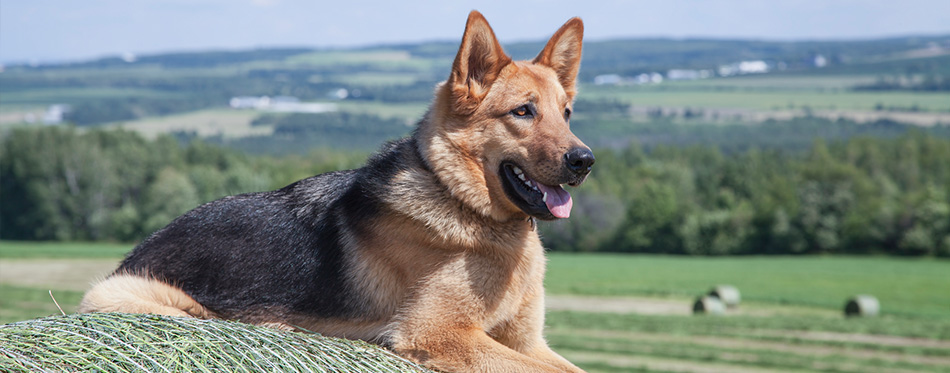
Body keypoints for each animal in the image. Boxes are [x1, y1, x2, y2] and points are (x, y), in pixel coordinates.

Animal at [85, 10, 600, 370]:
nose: (584, 161)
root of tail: (134, 253)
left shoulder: (527, 341)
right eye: (522, 112)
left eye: (566, 113)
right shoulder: (440, 333)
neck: (462, 203)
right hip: (141, 300)